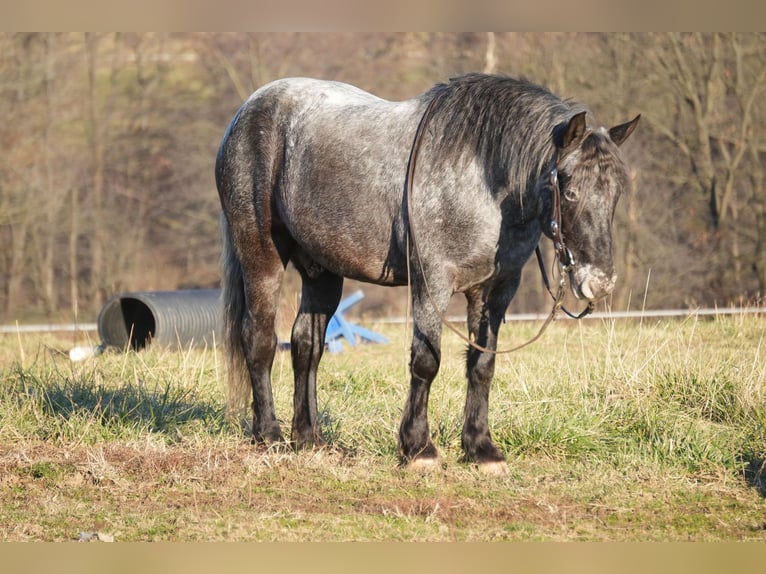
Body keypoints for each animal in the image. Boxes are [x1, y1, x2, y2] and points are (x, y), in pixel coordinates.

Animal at [213, 74, 640, 474]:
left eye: (616, 194)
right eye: (569, 192)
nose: (599, 282)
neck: (481, 176)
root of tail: (248, 110)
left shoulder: (495, 290)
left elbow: (482, 365)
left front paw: (481, 449)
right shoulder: (431, 282)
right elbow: (426, 361)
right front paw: (419, 448)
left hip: (323, 272)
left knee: (307, 345)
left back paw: (309, 438)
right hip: (261, 256)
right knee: (260, 339)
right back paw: (269, 435)